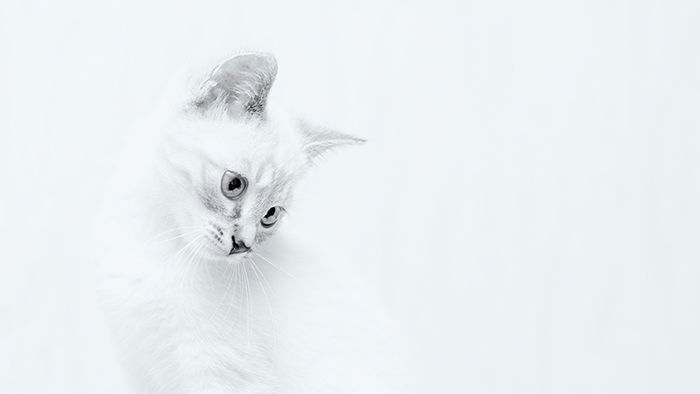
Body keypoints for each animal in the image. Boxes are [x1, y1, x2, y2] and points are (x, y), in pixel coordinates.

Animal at [95, 53, 408, 394]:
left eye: (270, 215)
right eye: (233, 185)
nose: (242, 245)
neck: (160, 244)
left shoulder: (221, 374)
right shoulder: (140, 371)